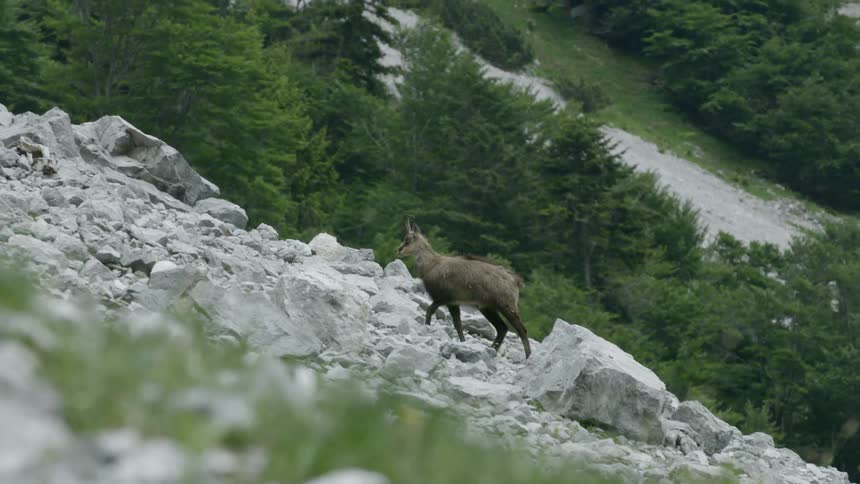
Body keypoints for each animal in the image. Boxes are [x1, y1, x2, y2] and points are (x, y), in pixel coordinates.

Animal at [395, 217, 531, 359]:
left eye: (408, 240)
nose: (397, 250)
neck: (431, 265)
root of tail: (515, 280)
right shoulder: (452, 302)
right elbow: (458, 323)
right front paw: (463, 343)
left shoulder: (442, 298)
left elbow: (429, 311)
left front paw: (427, 328)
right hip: (488, 307)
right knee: (502, 328)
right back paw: (492, 349)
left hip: (507, 306)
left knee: (521, 329)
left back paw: (527, 356)